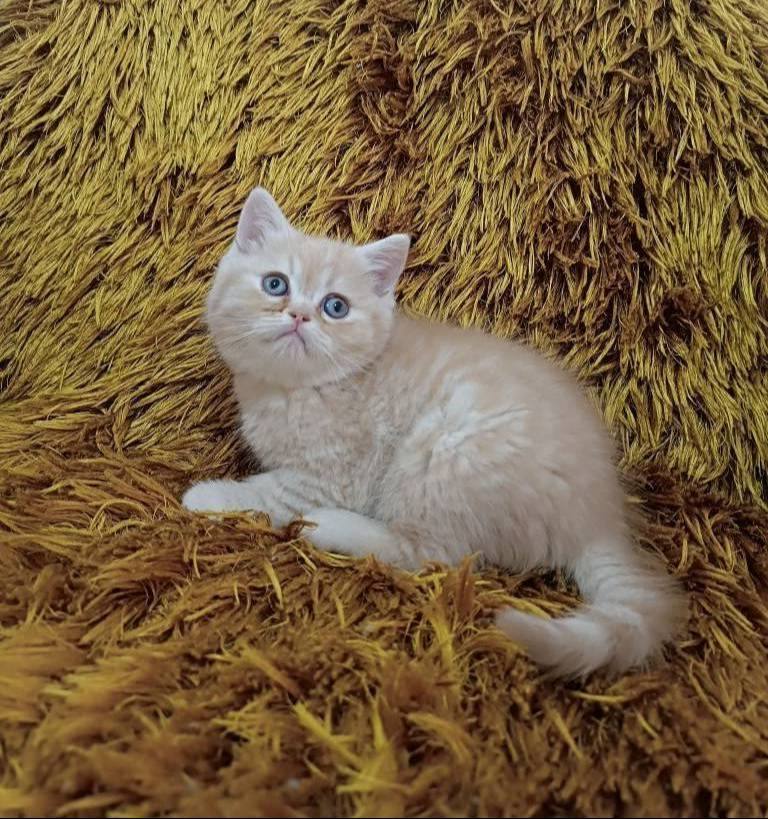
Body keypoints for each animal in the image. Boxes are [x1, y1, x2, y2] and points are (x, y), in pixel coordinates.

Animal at [183, 187, 685, 677]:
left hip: (443, 452)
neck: (297, 389)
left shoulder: (331, 476)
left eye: (335, 307)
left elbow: (266, 493)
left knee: (434, 555)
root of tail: (599, 515)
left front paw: (209, 495)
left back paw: (332, 527)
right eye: (275, 284)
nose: (300, 315)